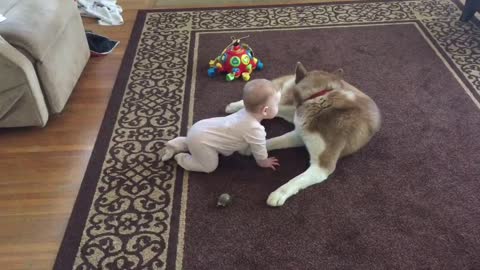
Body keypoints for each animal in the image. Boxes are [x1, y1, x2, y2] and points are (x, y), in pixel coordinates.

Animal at [227, 63, 380, 207]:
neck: (320, 98)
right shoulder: (301, 131)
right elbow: (276, 140)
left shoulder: (319, 162)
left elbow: (296, 178)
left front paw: (278, 193)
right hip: (284, 104)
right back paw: (234, 108)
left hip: (289, 112)